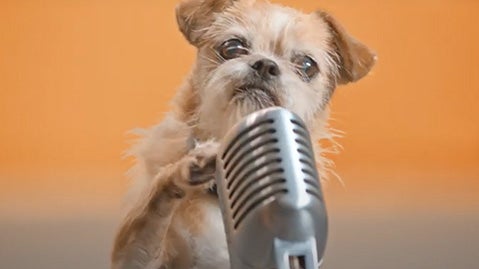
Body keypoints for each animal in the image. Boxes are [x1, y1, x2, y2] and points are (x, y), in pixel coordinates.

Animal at [111, 1, 376, 266]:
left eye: (307, 65)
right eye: (232, 48)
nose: (266, 64)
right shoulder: (132, 258)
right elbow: (149, 215)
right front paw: (185, 169)